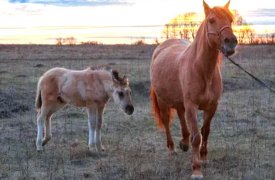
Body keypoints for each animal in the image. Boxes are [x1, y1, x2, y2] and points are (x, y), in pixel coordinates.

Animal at [150, 0, 238, 179]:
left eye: (231, 20)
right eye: (211, 20)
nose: (231, 42)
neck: (202, 70)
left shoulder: (212, 106)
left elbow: (206, 131)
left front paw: (203, 158)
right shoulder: (191, 105)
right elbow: (197, 137)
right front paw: (196, 170)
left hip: (179, 101)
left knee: (181, 116)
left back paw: (184, 143)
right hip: (163, 101)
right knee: (167, 121)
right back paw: (172, 148)